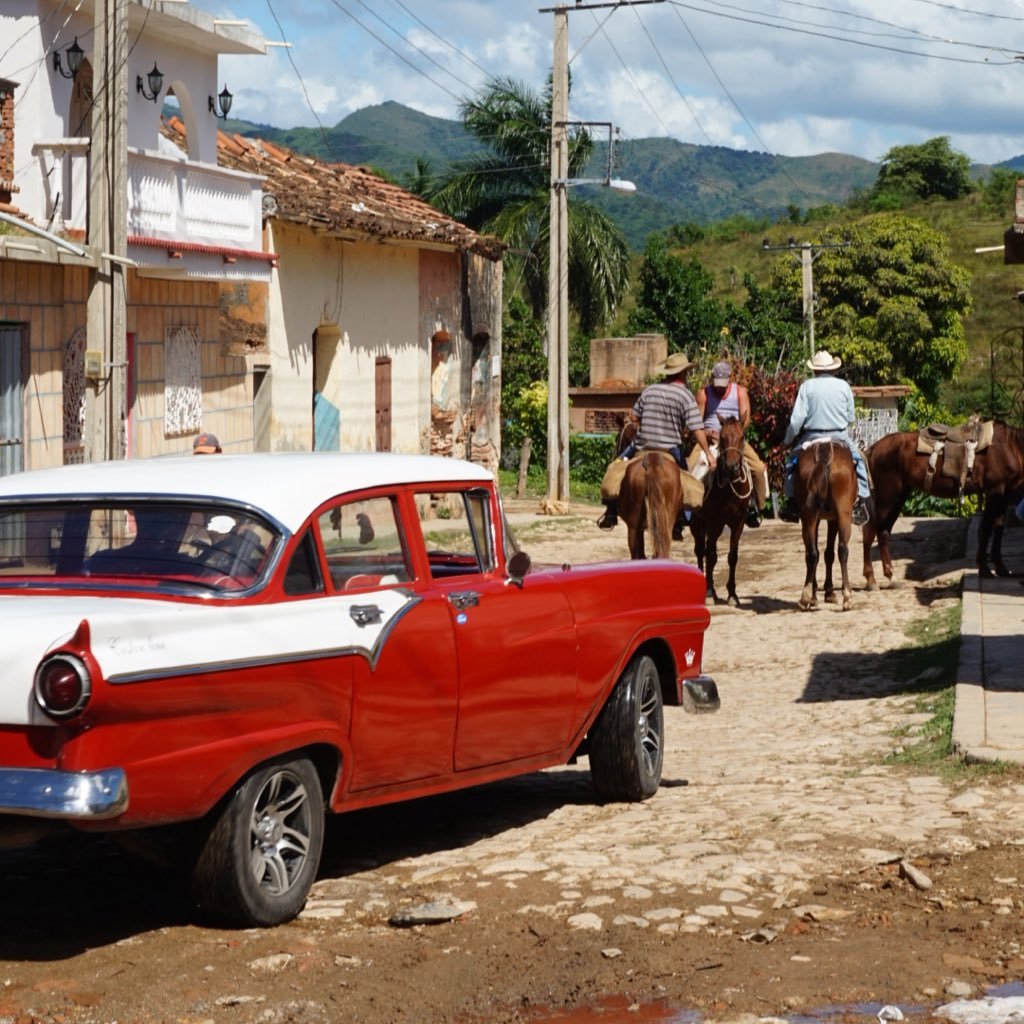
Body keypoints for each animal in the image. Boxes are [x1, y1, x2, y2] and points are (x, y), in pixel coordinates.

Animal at [688, 415, 753, 606]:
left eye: (742, 437)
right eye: (722, 438)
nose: (731, 468)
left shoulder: (738, 522)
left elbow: (732, 556)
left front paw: (732, 594)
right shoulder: (714, 522)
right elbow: (711, 555)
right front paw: (710, 592)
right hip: (698, 524)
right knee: (701, 551)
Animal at [790, 438, 856, 606]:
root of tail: (824, 448)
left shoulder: (822, 518)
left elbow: (823, 553)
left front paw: (821, 592)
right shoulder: (833, 519)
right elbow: (828, 553)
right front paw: (829, 591)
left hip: (809, 517)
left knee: (812, 553)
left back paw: (807, 596)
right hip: (843, 515)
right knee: (841, 549)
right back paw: (846, 596)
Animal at [864, 421, 1024, 589]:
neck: (1010, 446)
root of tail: (874, 448)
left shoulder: (1004, 494)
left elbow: (999, 528)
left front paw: (1001, 568)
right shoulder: (994, 490)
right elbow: (987, 529)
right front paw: (984, 569)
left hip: (898, 498)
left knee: (883, 533)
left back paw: (891, 577)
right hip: (886, 498)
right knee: (870, 531)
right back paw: (871, 580)